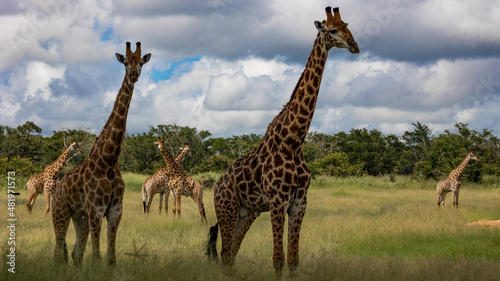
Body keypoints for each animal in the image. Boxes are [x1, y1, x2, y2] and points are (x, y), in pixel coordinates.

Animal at [52, 41, 152, 264]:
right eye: (125, 62)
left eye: (141, 62)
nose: (133, 74)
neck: (109, 160)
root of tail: (58, 186)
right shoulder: (96, 210)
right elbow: (97, 258)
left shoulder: (115, 211)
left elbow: (110, 258)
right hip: (60, 212)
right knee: (59, 250)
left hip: (80, 217)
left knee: (75, 252)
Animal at [207, 6, 360, 276]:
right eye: (332, 30)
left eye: (347, 26)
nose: (355, 46)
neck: (294, 140)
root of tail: (217, 185)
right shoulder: (278, 201)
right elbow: (278, 258)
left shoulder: (299, 203)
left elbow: (294, 259)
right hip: (227, 208)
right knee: (225, 253)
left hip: (247, 212)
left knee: (231, 254)